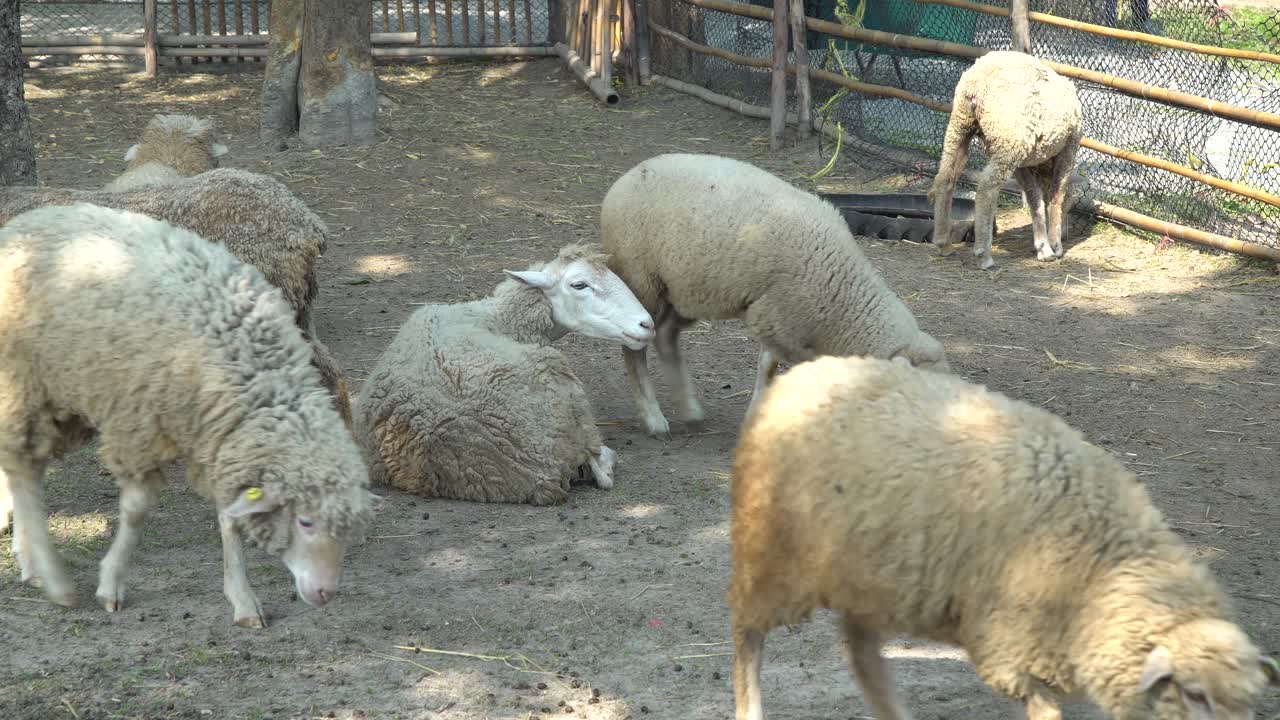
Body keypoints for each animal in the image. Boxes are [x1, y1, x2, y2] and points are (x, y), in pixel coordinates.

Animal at [0, 202, 377, 628]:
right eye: (305, 521)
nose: (326, 594)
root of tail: (32, 217)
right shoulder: (139, 425)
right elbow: (136, 511)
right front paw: (112, 583)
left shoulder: (221, 435)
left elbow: (230, 519)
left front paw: (242, 598)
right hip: (25, 377)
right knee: (23, 467)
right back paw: (51, 576)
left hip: (64, 393)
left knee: (24, 465)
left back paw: (25, 553)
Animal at [599, 152, 949, 439]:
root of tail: (626, 177)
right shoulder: (778, 319)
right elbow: (769, 369)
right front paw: (761, 417)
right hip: (642, 279)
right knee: (634, 348)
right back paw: (654, 419)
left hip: (687, 289)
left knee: (666, 336)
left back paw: (690, 411)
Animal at [729, 354, 1279, 720]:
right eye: (1195, 694)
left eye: (1253, 704)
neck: (1105, 564)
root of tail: (799, 374)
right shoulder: (1015, 648)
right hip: (773, 551)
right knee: (747, 634)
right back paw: (749, 704)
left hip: (868, 572)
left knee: (862, 655)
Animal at [928, 50, 1083, 270]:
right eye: (1071, 204)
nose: (1066, 234)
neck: (1044, 167)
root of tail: (978, 82)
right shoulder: (1069, 148)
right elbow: (1055, 196)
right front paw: (1055, 244)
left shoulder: (1024, 164)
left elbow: (1034, 200)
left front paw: (1042, 246)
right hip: (1008, 141)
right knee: (986, 188)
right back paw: (984, 255)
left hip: (960, 125)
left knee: (945, 178)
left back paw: (944, 243)